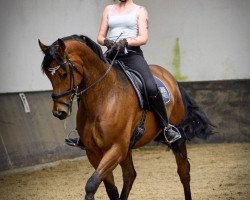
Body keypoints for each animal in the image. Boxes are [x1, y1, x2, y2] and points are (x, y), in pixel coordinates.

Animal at [38, 34, 213, 200]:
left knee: (184, 171)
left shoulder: (116, 148)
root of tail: (170, 77)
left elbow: (91, 184)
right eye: (48, 75)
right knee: (130, 175)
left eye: (64, 73)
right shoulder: (93, 152)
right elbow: (110, 189)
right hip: (128, 147)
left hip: (176, 139)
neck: (104, 97)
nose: (59, 112)